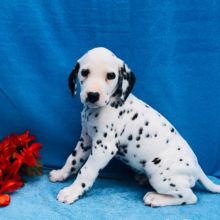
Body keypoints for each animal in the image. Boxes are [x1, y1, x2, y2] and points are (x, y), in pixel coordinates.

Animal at [49, 47, 220, 207]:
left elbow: (86, 171)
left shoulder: (104, 147)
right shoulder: (86, 140)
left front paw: (72, 192)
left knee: (189, 197)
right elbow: (72, 159)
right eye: (84, 72)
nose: (93, 95)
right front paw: (60, 174)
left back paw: (156, 198)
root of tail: (197, 167)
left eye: (110, 76)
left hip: (159, 174)